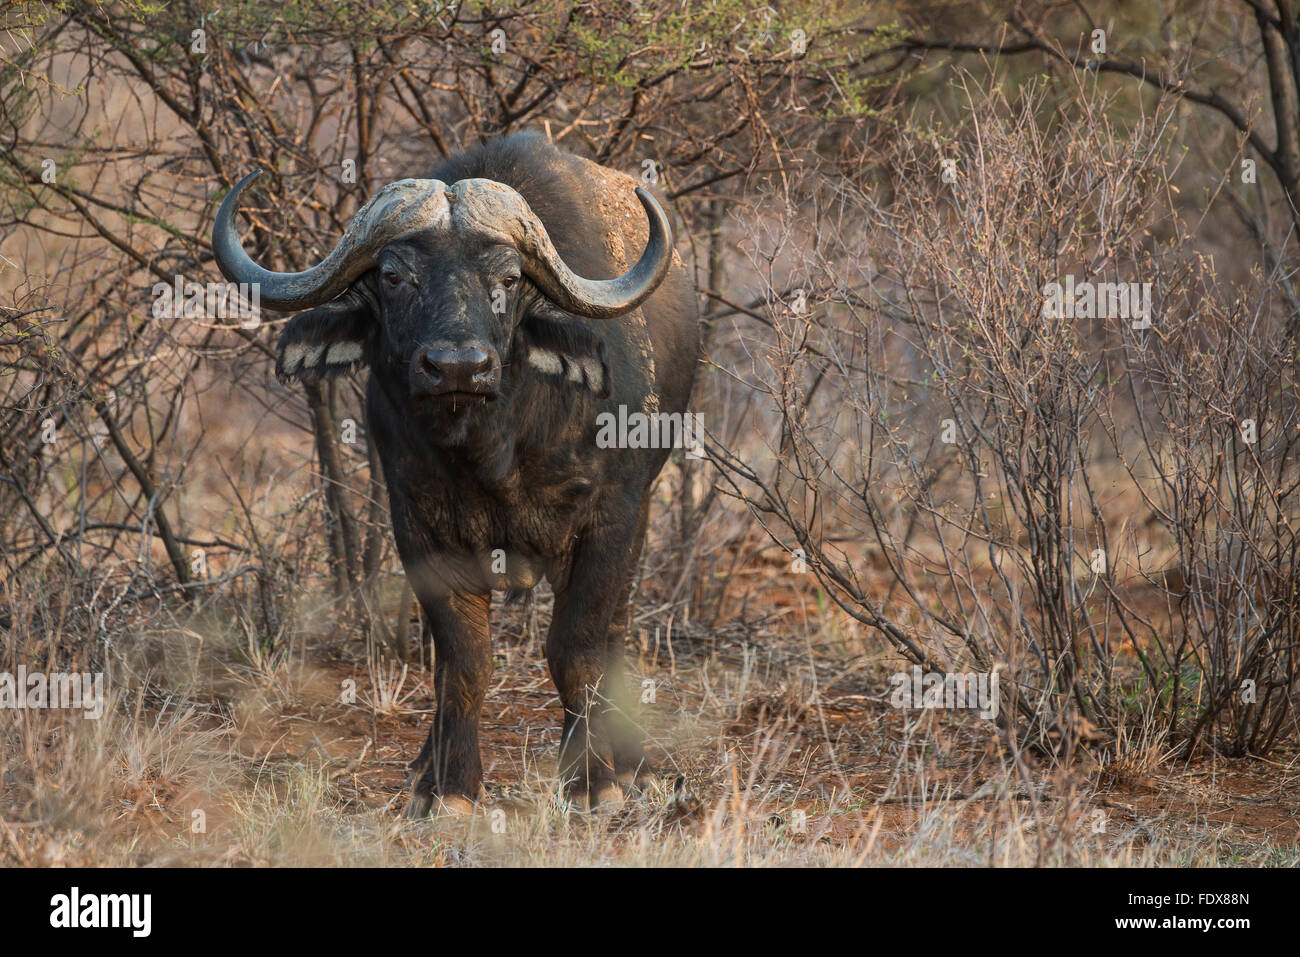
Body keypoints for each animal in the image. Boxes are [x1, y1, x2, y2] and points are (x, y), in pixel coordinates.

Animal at [214, 132, 702, 816]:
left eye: (508, 278)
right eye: (393, 277)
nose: (456, 368)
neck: (495, 447)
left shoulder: (613, 518)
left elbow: (576, 646)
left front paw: (595, 780)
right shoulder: (418, 526)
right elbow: (463, 660)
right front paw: (449, 788)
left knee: (614, 629)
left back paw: (629, 764)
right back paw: (426, 767)